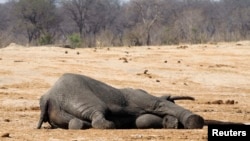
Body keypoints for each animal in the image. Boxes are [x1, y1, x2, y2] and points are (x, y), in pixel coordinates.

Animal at [37, 73, 205, 129]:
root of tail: (48, 97)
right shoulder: (136, 96)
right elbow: (157, 104)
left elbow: (143, 120)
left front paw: (172, 123)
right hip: (77, 93)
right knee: (99, 112)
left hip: (60, 111)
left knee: (75, 122)